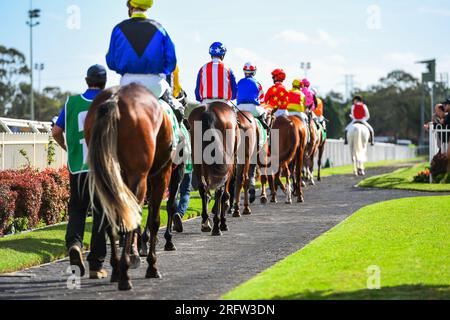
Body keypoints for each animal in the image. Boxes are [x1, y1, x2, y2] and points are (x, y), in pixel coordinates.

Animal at [84, 84, 174, 292]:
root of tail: (115, 99)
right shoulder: (161, 175)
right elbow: (154, 220)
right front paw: (152, 266)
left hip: (105, 177)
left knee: (110, 220)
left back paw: (117, 270)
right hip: (139, 178)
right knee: (131, 217)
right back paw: (125, 275)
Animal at [188, 102, 239, 235]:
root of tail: (208, 112)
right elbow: (224, 193)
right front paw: (223, 223)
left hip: (197, 161)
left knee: (203, 189)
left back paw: (206, 223)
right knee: (219, 190)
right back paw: (217, 226)